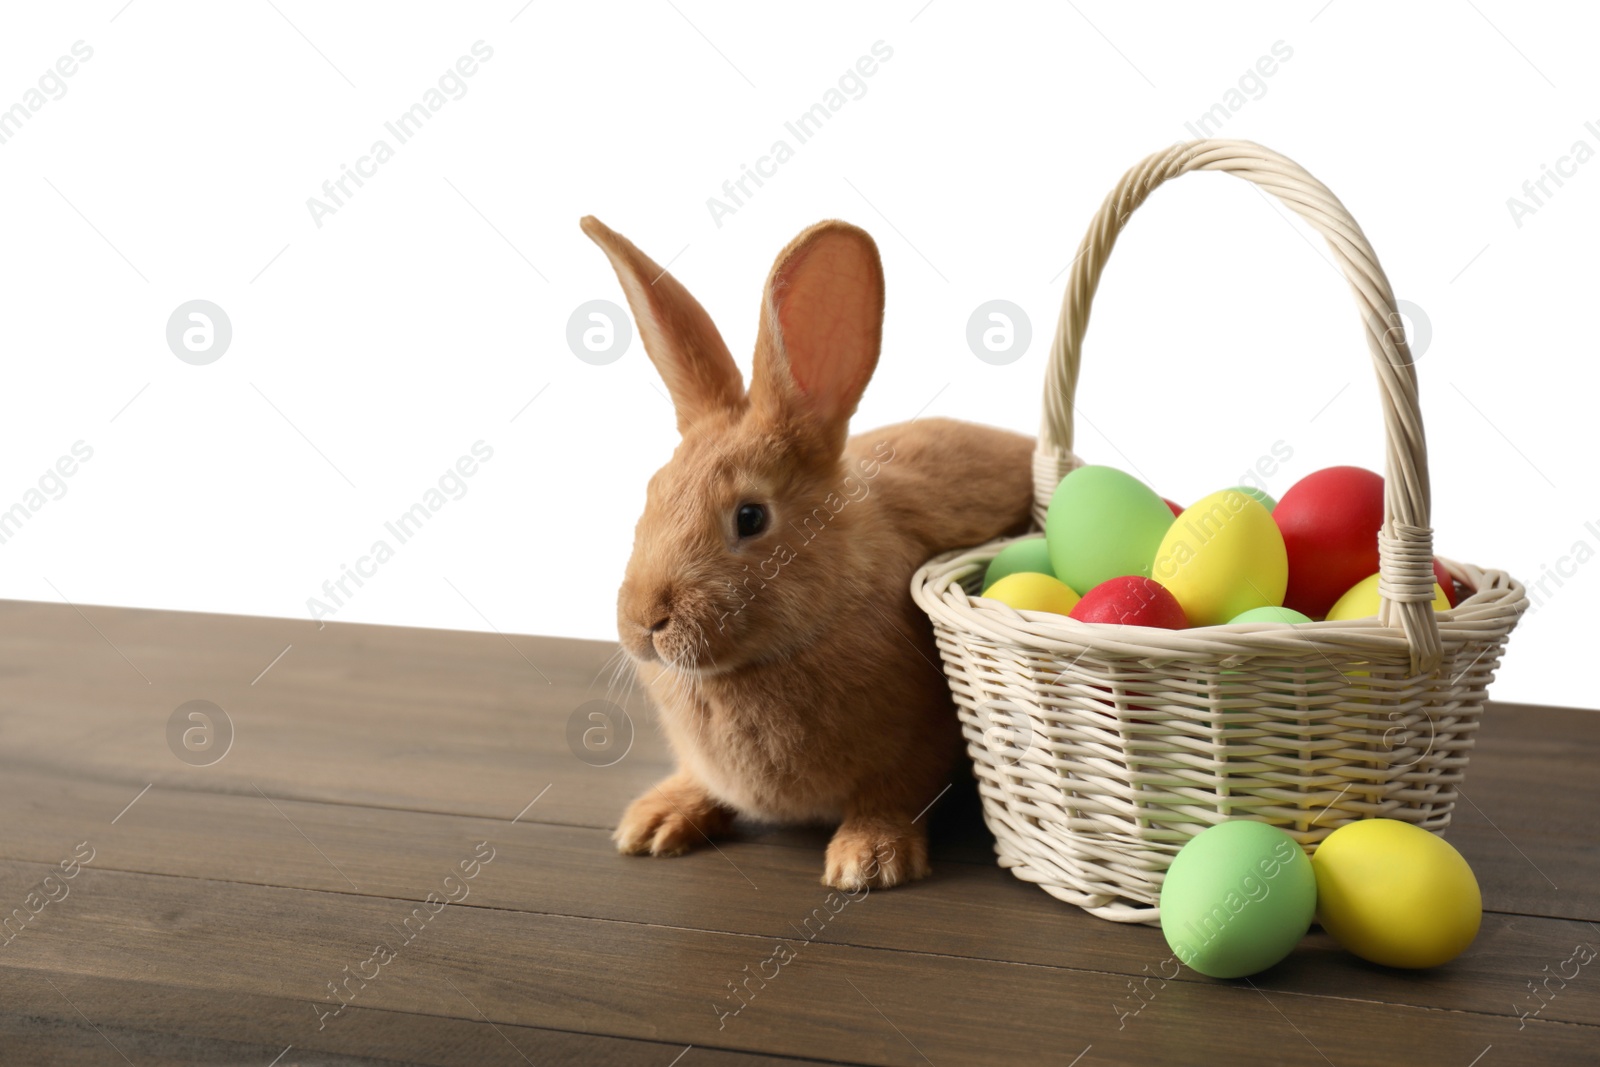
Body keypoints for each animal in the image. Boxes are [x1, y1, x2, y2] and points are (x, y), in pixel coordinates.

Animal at [582, 217, 1030, 895]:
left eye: (750, 517)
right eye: (652, 493)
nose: (645, 622)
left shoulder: (917, 746)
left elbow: (893, 796)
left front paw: (867, 862)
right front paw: (653, 823)